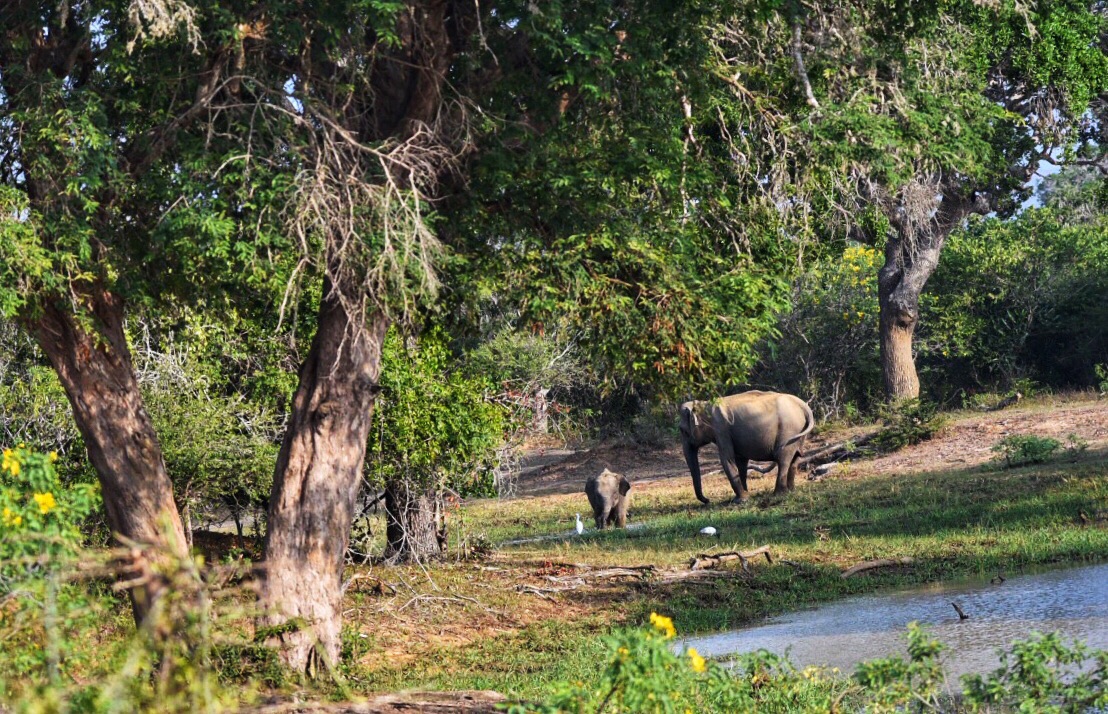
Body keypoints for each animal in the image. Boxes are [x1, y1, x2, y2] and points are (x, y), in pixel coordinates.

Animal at [678, 392, 811, 505]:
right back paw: (791, 490)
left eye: (682, 431)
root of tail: (803, 405)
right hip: (799, 433)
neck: (704, 404)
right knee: (795, 458)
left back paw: (778, 494)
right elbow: (740, 462)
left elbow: (727, 459)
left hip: (788, 431)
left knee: (783, 459)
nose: (707, 500)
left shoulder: (721, 429)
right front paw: (746, 495)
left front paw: (740, 500)